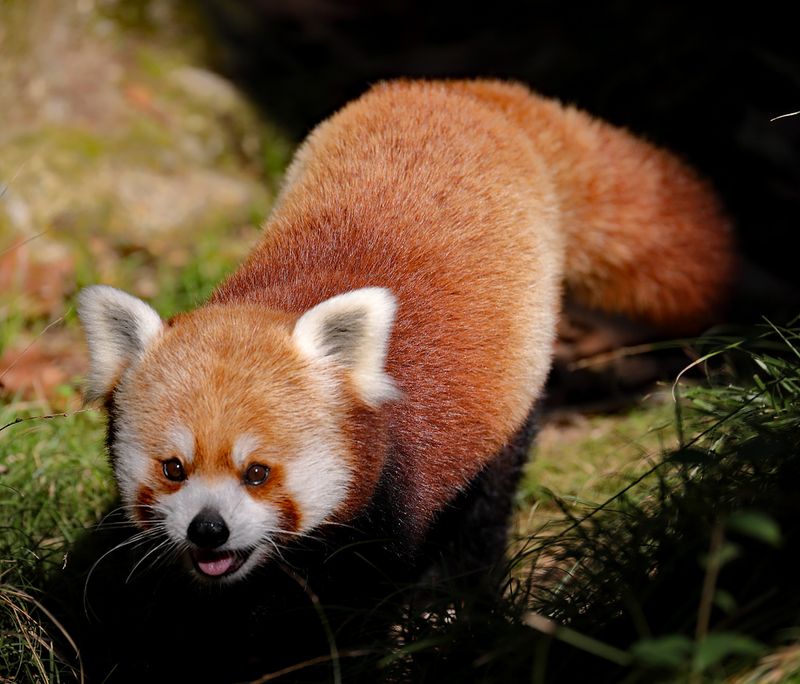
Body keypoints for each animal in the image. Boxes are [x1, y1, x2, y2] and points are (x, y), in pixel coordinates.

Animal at [78, 79, 736, 584]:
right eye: (174, 468)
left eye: (258, 472)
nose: (208, 530)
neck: (274, 299)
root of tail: (469, 93)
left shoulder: (399, 487)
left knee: (491, 494)